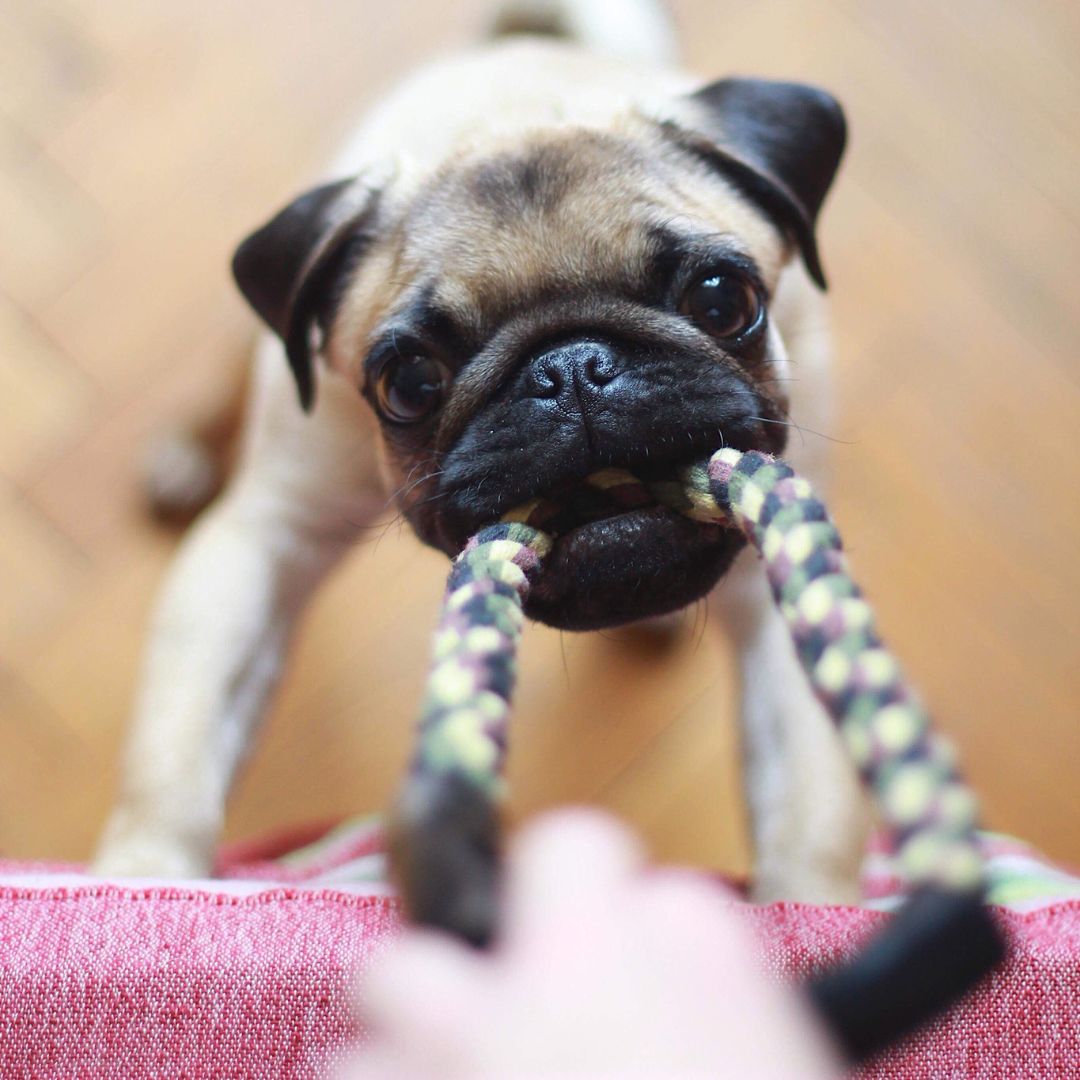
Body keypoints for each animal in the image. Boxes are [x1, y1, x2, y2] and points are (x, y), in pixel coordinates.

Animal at [92, 0, 868, 911]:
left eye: (722, 300)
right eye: (410, 382)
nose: (572, 368)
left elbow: (811, 798)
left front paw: (810, 912)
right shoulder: (267, 539)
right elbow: (175, 754)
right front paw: (143, 875)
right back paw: (185, 451)